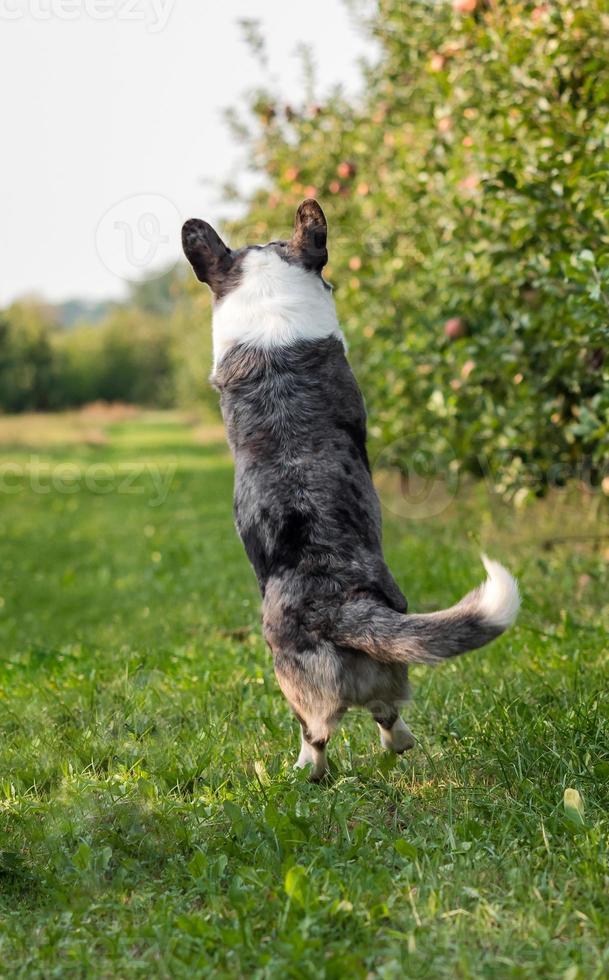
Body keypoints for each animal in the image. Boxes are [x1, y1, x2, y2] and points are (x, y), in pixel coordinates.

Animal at [182, 199, 516, 780]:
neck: (270, 310)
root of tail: (337, 606)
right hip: (377, 668)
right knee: (378, 715)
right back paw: (374, 751)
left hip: (304, 682)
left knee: (327, 729)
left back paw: (309, 771)